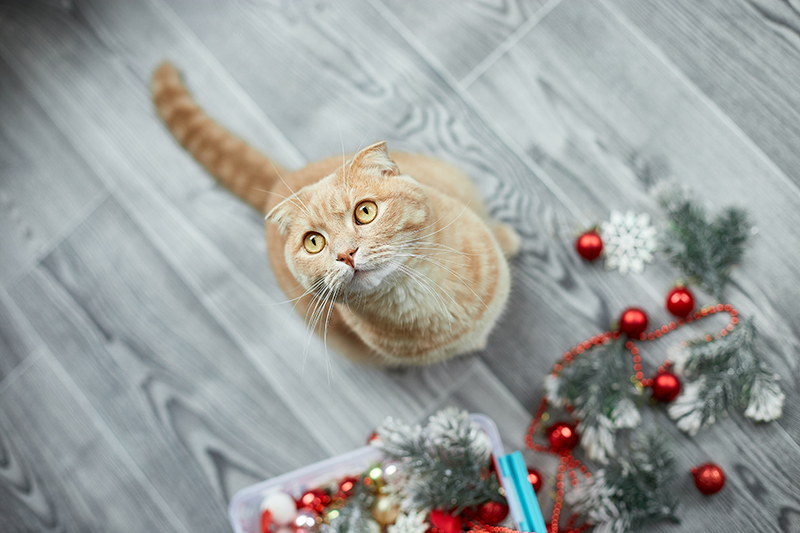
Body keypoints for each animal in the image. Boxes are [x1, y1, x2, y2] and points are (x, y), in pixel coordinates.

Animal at [153, 60, 520, 364]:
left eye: (366, 212)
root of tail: (282, 183)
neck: (420, 300)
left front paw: (507, 240)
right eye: (314, 242)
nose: (346, 254)